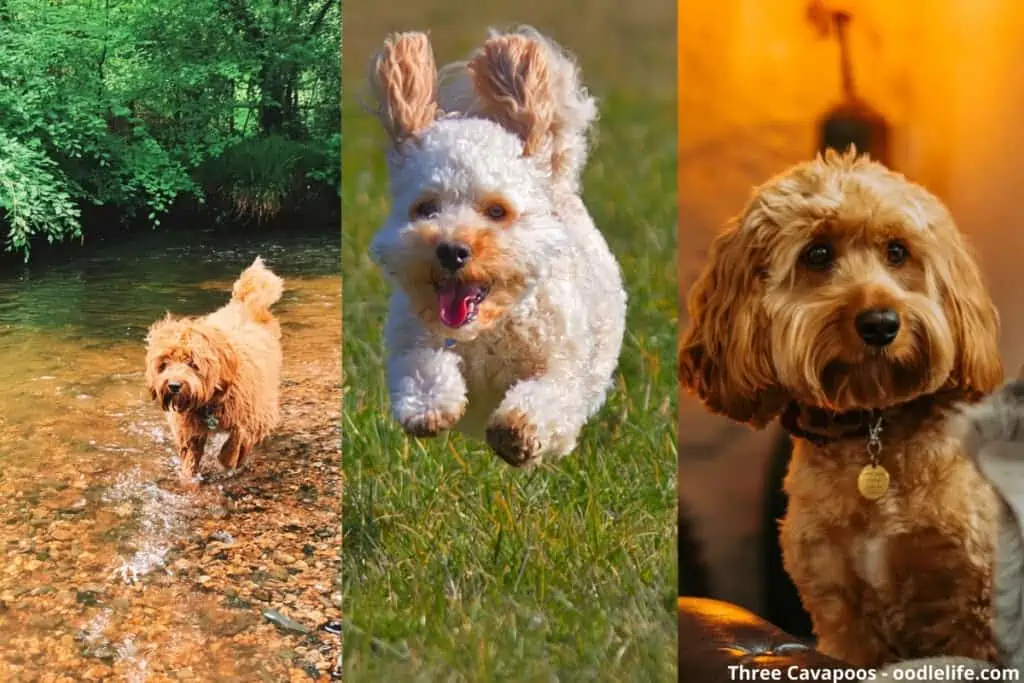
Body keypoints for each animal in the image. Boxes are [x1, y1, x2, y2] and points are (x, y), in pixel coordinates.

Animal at [145, 254, 284, 485]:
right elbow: (190, 457)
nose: (174, 385)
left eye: (193, 363)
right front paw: (188, 479)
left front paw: (228, 461)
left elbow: (238, 438)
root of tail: (243, 303)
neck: (211, 400)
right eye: (164, 364)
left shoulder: (252, 414)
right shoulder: (189, 428)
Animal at [364, 25, 626, 464]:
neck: (486, 328)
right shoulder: (411, 340)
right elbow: (423, 367)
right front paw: (430, 408)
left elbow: (547, 396)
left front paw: (517, 430)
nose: (452, 250)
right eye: (426, 208)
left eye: (497, 211)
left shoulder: (563, 369)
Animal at [675, 149, 1003, 667]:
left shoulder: (972, 602)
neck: (873, 427)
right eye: (818, 254)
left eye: (897, 251)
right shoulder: (840, 610)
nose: (880, 323)